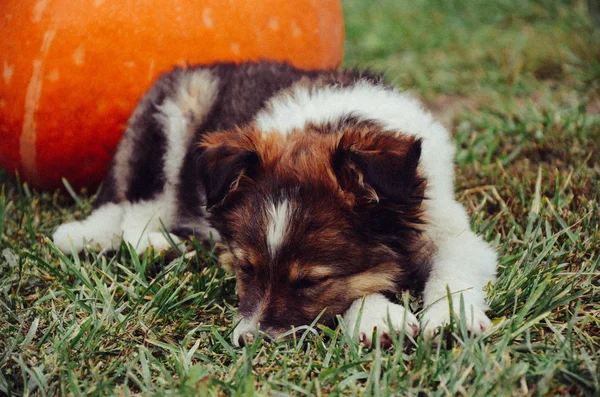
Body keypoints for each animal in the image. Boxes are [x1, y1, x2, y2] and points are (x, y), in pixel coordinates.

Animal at [54, 60, 496, 344]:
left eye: (310, 282)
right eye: (246, 268)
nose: (247, 341)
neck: (333, 123)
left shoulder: (449, 228)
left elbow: (454, 270)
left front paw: (451, 319)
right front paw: (379, 317)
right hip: (172, 116)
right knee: (137, 204)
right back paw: (154, 244)